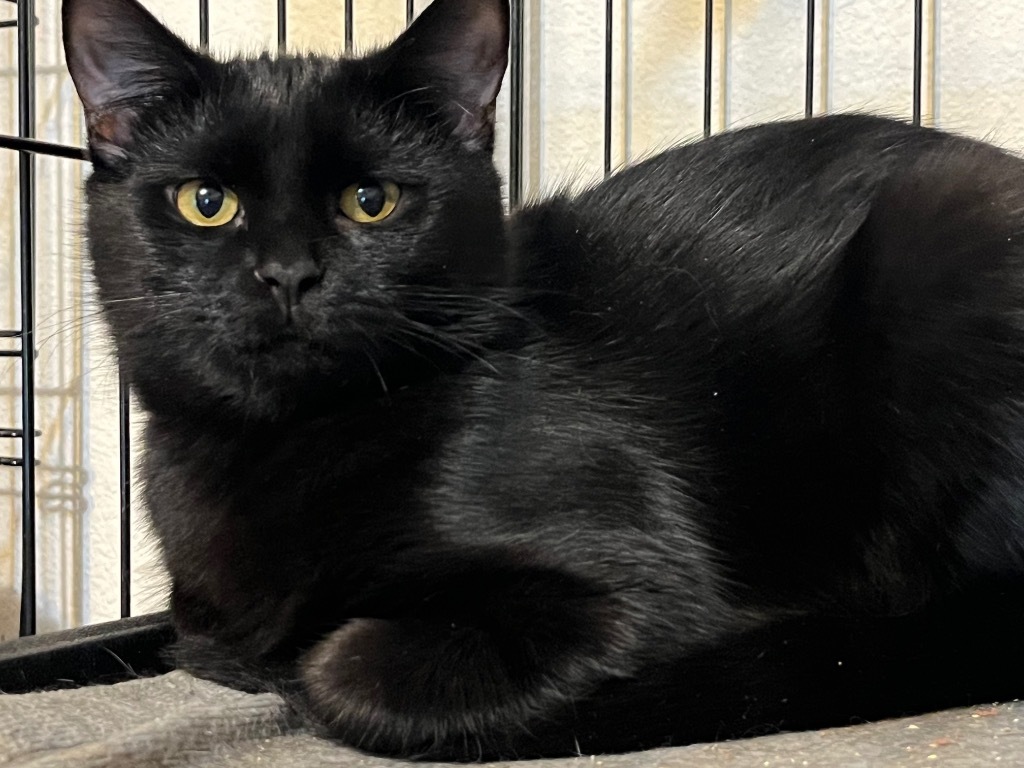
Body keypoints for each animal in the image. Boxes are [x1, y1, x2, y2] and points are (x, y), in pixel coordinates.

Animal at [61, 0, 1024, 761]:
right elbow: (189, 631)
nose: (288, 274)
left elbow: (340, 668)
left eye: (372, 202)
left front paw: (287, 669)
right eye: (205, 202)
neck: (279, 446)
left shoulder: (635, 591)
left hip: (944, 240)